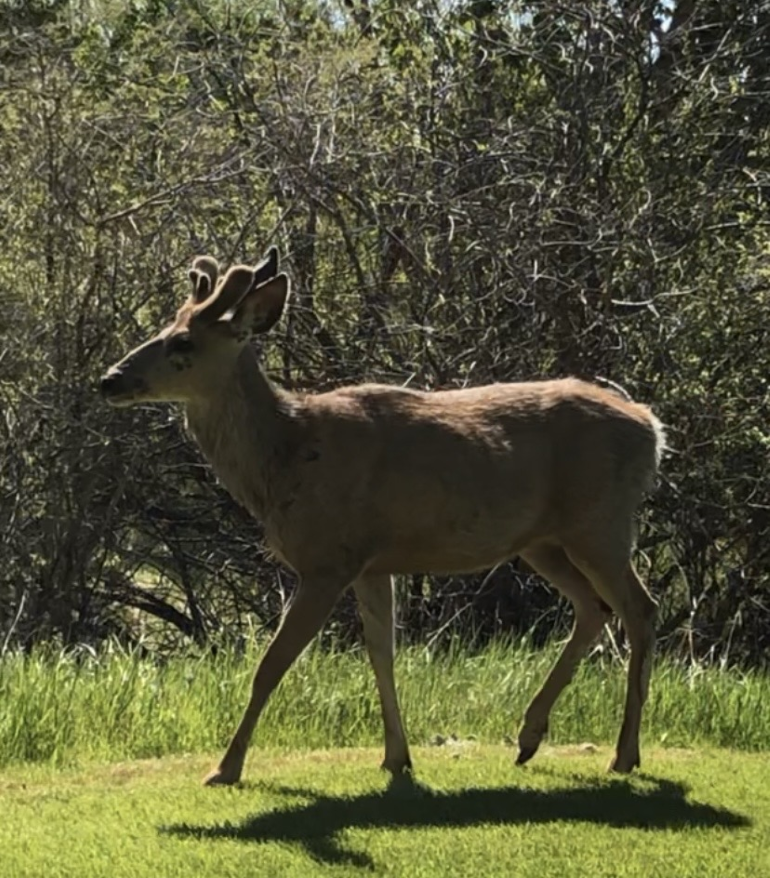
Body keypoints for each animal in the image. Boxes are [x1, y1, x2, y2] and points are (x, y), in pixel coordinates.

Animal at [100, 247, 664, 787]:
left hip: (601, 523)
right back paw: (529, 739)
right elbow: (381, 654)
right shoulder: (371, 562)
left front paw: (225, 768)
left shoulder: (327, 559)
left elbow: (272, 664)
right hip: (542, 541)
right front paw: (397, 758)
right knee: (594, 608)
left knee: (640, 607)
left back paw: (623, 755)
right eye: (163, 329)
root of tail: (652, 428)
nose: (110, 379)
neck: (287, 456)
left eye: (182, 344)